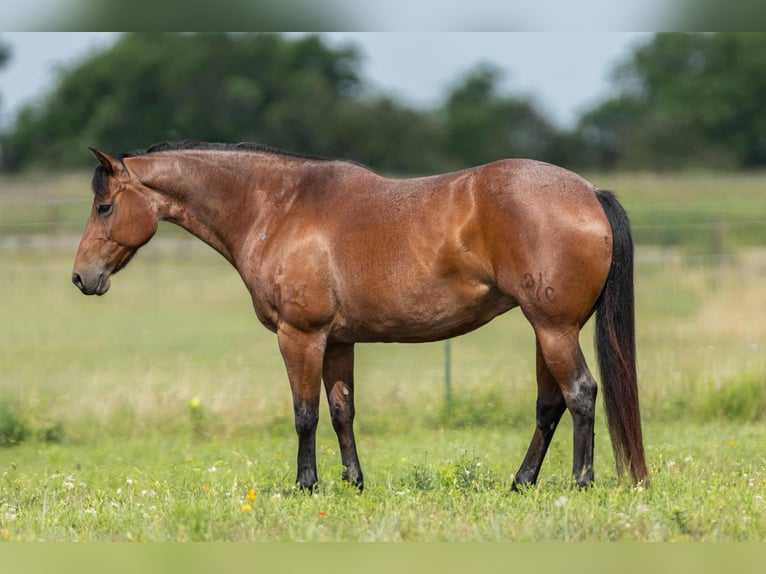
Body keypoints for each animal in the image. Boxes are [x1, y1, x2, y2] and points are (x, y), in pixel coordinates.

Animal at [72, 140, 647, 491]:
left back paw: (579, 482)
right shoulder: (338, 341)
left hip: (554, 329)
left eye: (104, 207)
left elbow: (304, 413)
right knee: (550, 405)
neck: (277, 208)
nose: (82, 277)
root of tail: (589, 192)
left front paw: (306, 485)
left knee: (580, 394)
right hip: (547, 330)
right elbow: (341, 410)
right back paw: (521, 482)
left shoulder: (299, 337)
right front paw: (353, 482)